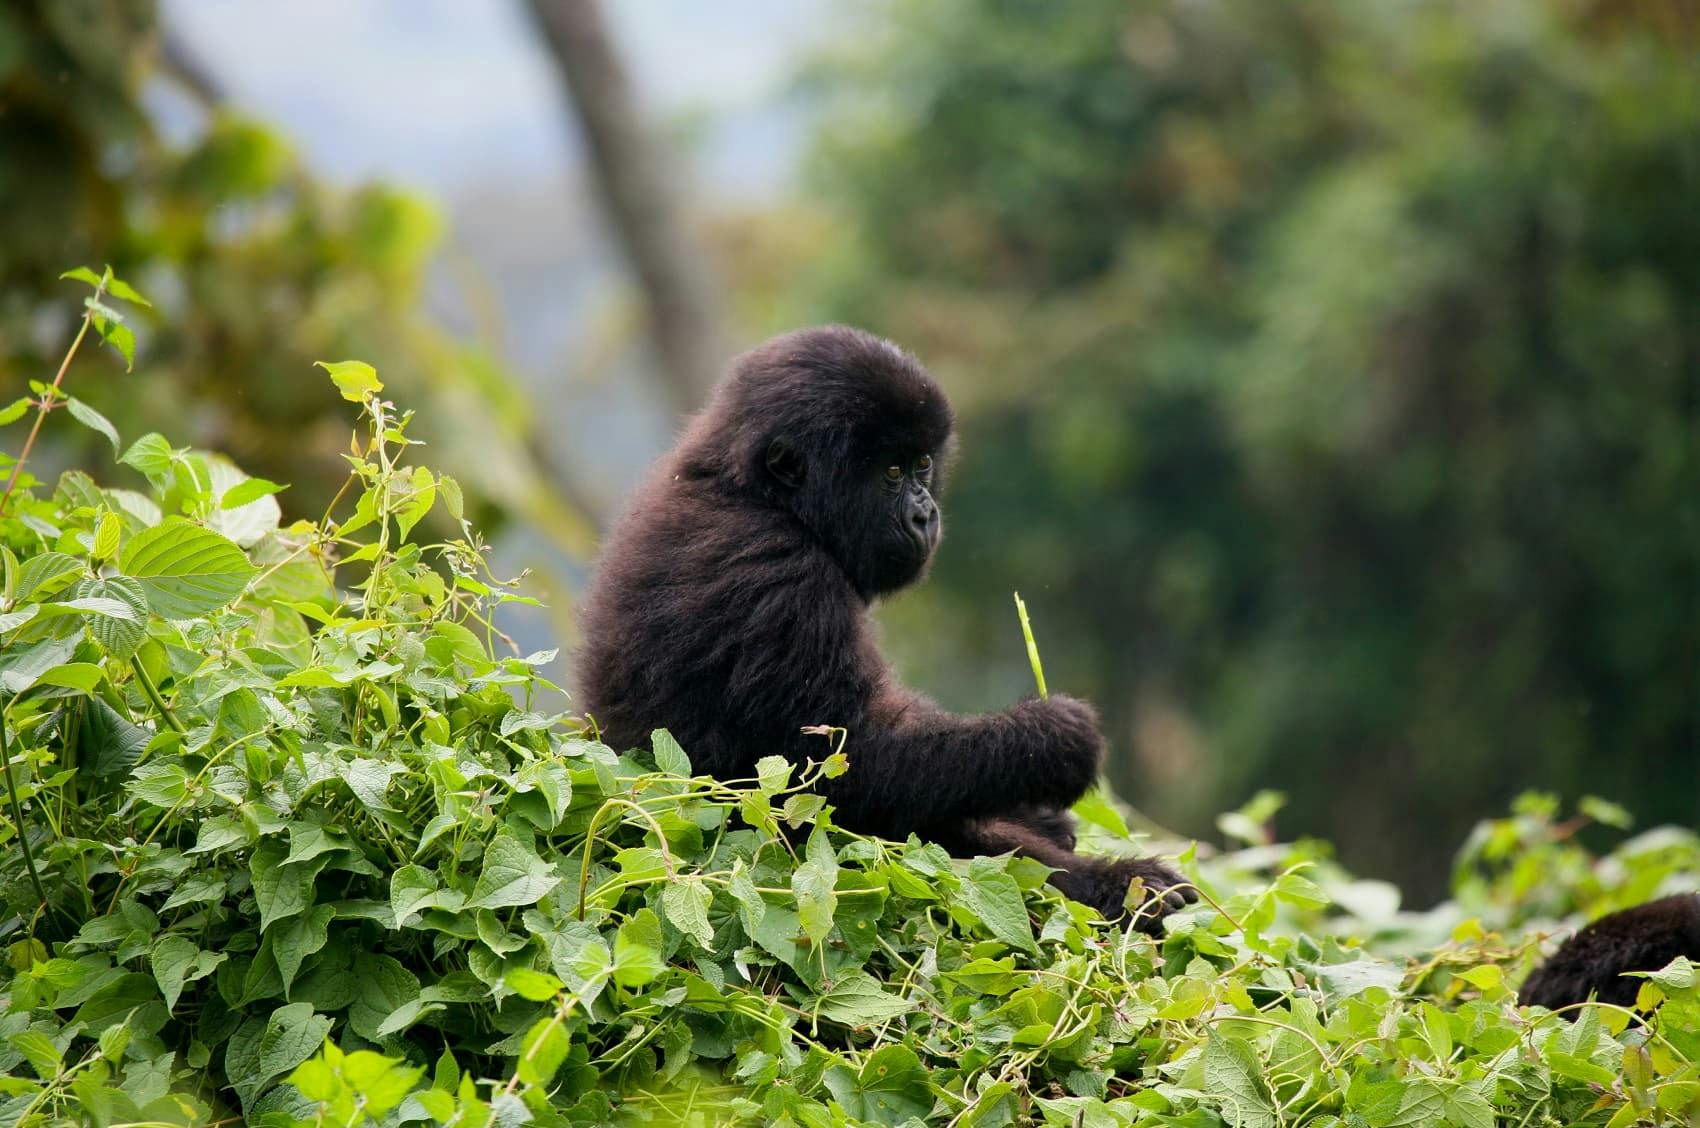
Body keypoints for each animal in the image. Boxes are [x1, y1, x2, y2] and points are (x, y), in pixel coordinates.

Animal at [577, 325, 1195, 929]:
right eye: (892, 472)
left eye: (922, 465)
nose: (925, 515)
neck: (756, 492)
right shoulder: (779, 577)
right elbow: (848, 772)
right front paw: (1051, 741)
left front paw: (1042, 809)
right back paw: (1124, 888)